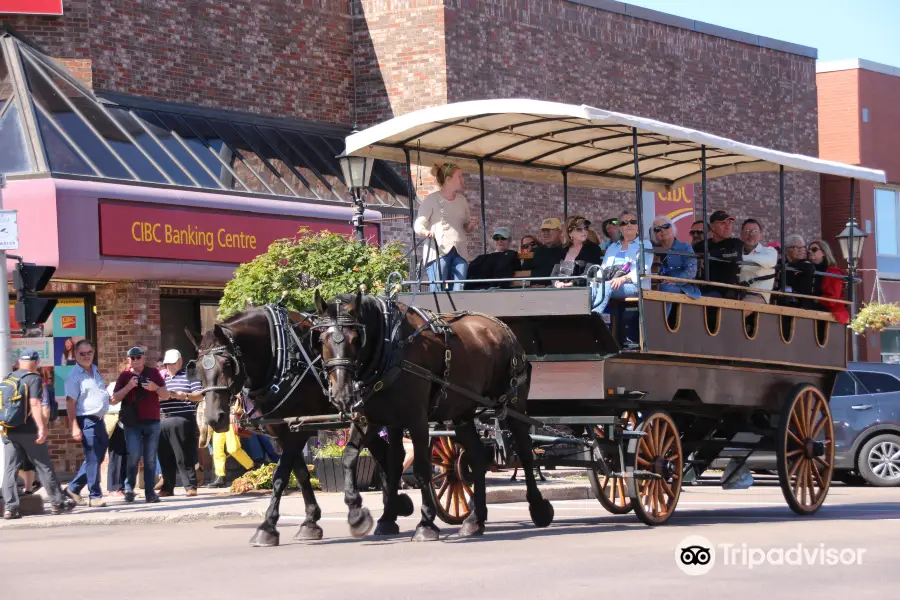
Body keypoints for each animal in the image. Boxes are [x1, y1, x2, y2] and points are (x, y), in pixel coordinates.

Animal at [195, 302, 414, 548]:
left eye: (228, 363)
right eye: (197, 367)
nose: (214, 418)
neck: (281, 356)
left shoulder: (298, 431)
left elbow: (280, 476)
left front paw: (267, 527)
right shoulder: (282, 431)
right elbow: (300, 473)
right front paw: (310, 521)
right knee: (386, 454)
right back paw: (392, 510)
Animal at [316, 292, 556, 544]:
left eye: (355, 338)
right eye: (321, 339)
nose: (341, 393)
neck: (390, 347)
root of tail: (503, 328)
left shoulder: (417, 420)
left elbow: (422, 469)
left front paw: (426, 523)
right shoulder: (376, 419)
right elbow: (358, 457)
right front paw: (364, 514)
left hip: (512, 404)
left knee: (525, 451)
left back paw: (538, 508)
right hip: (462, 413)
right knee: (477, 456)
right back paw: (475, 519)